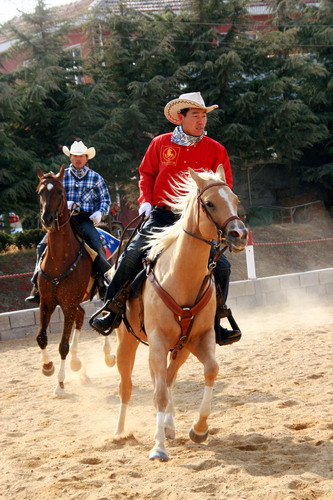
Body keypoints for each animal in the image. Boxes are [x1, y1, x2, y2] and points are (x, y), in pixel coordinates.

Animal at [35, 167, 115, 394]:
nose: (47, 218)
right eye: (40, 192)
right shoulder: (47, 302)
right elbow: (41, 338)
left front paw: (60, 384)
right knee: (81, 317)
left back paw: (108, 356)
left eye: (60, 192)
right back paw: (78, 364)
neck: (59, 259)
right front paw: (48, 367)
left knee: (103, 314)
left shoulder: (68, 304)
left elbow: (63, 345)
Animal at [113, 165, 248, 460]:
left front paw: (198, 430)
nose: (239, 234)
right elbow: (159, 393)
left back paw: (168, 425)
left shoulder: (200, 338)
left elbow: (210, 370)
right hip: (126, 342)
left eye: (235, 199)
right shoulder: (158, 341)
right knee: (128, 386)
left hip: (180, 348)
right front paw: (158, 448)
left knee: (167, 378)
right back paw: (120, 432)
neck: (181, 277)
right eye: (209, 203)